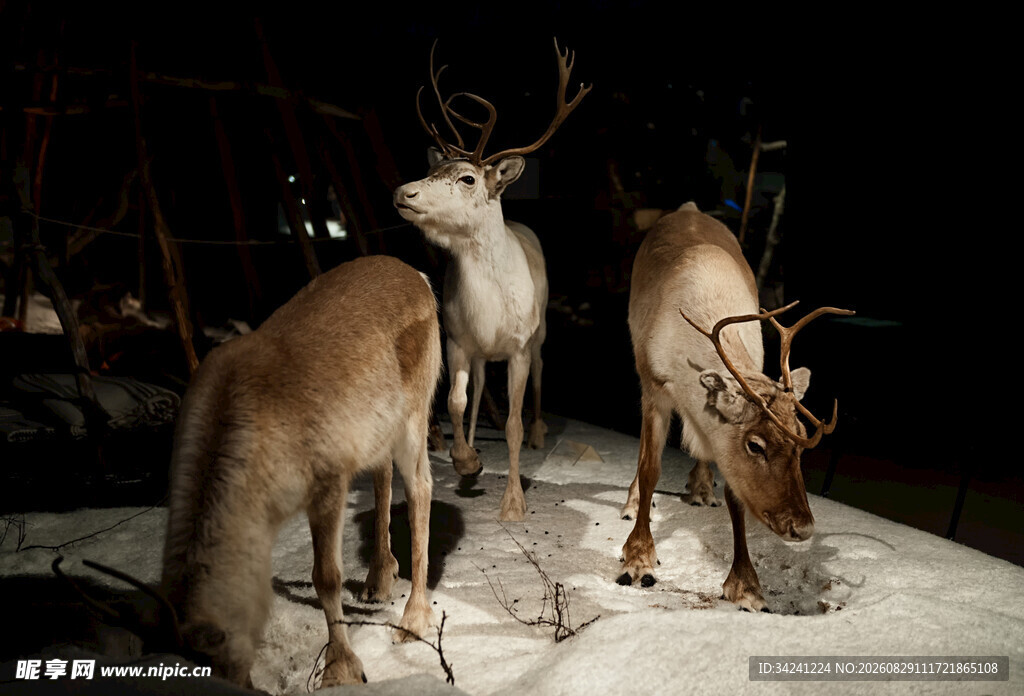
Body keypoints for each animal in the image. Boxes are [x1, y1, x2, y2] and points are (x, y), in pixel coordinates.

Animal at [159, 255, 442, 687]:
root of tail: (420, 277)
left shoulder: (328, 482)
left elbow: (325, 577)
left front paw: (342, 669)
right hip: (378, 431)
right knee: (383, 475)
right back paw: (378, 580)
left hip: (413, 415)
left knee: (421, 487)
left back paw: (412, 622)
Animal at [394, 38, 590, 521]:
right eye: (433, 170)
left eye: (467, 178)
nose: (404, 191)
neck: (488, 311)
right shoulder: (458, 339)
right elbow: (455, 401)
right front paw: (466, 461)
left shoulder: (517, 346)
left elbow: (514, 424)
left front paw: (514, 502)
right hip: (482, 355)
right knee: (480, 387)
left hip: (541, 332)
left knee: (540, 373)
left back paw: (540, 431)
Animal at [617, 202, 853, 611]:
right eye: (755, 445)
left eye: (802, 440)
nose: (802, 527)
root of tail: (689, 207)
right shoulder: (654, 388)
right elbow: (650, 470)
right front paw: (638, 558)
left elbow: (735, 496)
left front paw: (746, 586)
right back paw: (634, 503)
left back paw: (701, 489)